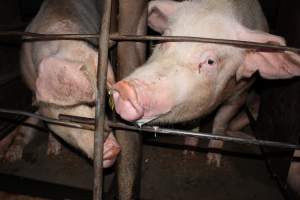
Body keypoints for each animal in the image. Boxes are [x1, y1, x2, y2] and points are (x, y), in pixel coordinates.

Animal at [112, 0, 300, 166]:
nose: (125, 89)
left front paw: (213, 162)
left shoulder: (242, 92)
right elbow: (195, 121)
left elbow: (222, 120)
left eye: (210, 61)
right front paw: (188, 153)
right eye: (165, 39)